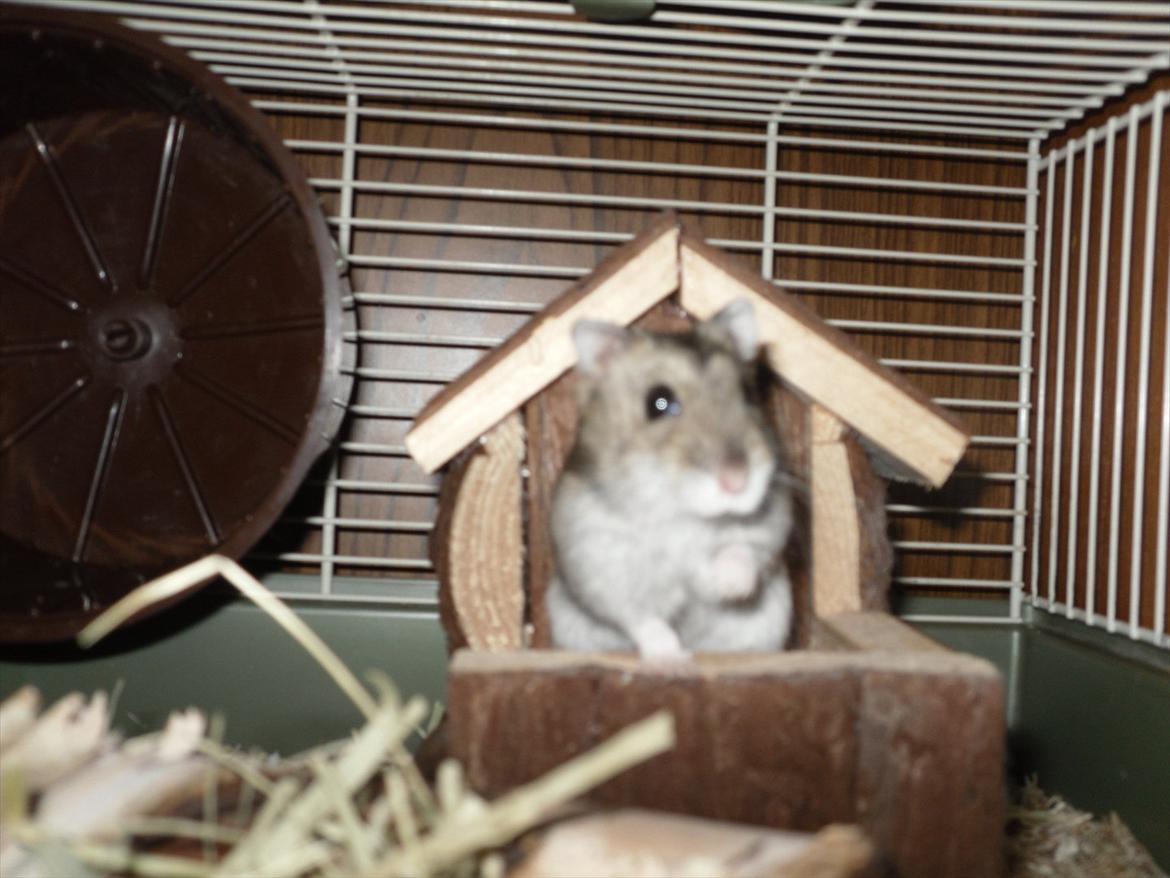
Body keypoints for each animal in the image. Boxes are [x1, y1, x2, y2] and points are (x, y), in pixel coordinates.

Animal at [545, 298, 795, 659]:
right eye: (658, 402)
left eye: (747, 394)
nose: (737, 481)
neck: (680, 511)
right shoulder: (599, 564)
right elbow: (640, 617)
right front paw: (672, 657)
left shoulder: (771, 522)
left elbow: (743, 550)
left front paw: (731, 587)